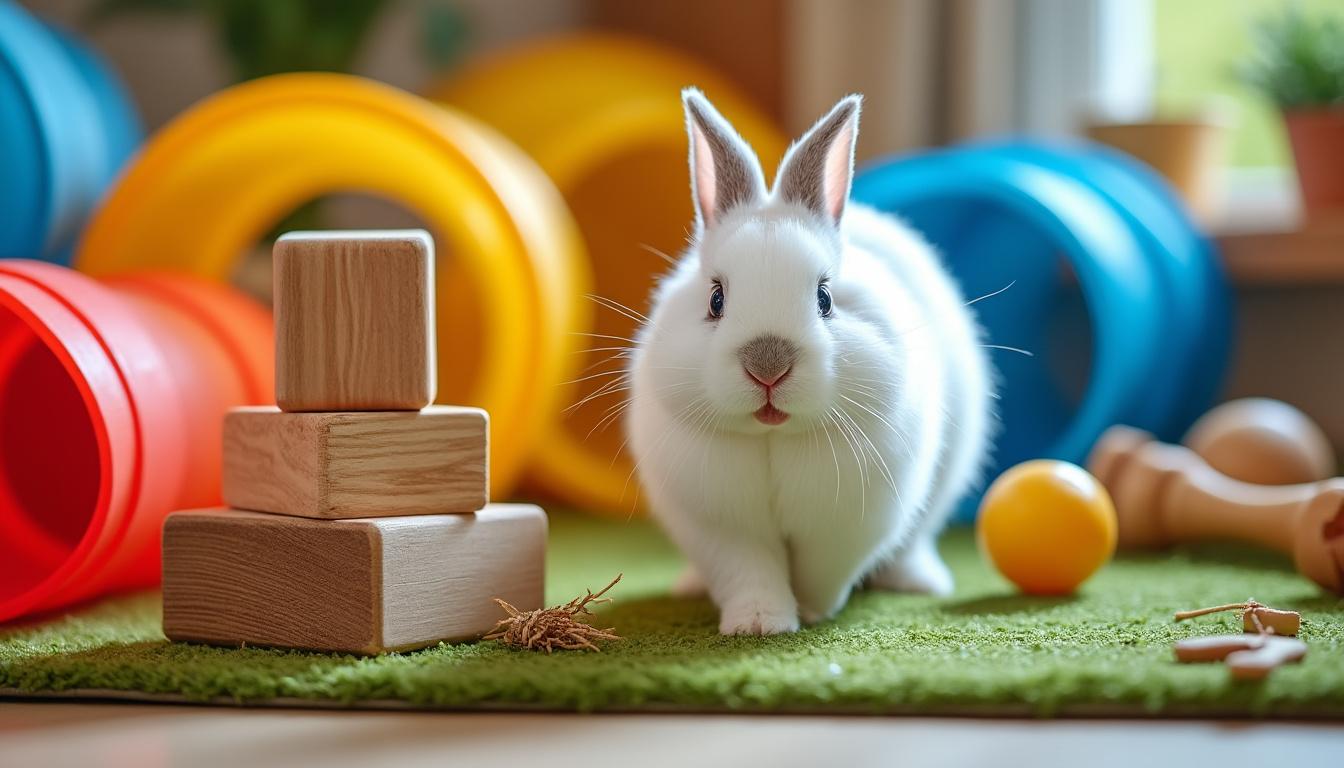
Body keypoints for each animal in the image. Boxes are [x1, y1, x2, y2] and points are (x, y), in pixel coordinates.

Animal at [625, 89, 996, 635]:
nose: (767, 365)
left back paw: (919, 581)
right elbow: (749, 573)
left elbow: (821, 572)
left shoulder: (845, 525)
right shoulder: (723, 528)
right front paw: (760, 624)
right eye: (716, 299)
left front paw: (814, 612)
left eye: (825, 298)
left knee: (915, 541)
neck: (772, 437)